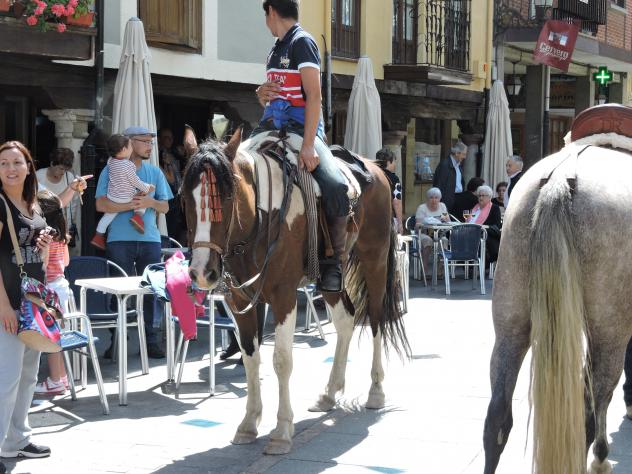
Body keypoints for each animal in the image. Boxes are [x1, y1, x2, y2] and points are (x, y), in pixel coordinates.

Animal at [181, 128, 410, 455]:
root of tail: (377, 170)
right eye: (183, 196)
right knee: (346, 320)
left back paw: (375, 391)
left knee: (377, 319)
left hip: (374, 259)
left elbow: (281, 360)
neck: (263, 217)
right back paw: (329, 394)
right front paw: (248, 424)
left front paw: (281, 431)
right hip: (331, 277)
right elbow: (251, 357)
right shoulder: (240, 299)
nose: (202, 271)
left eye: (226, 195)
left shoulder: (283, 296)